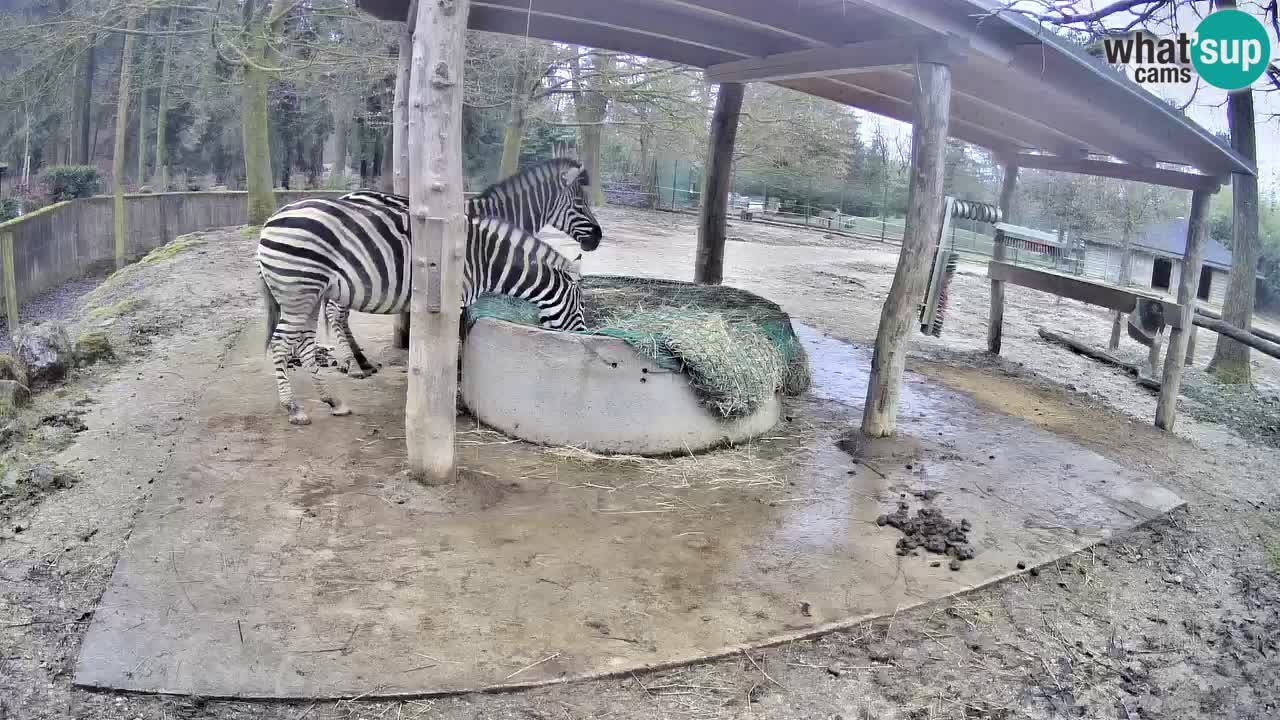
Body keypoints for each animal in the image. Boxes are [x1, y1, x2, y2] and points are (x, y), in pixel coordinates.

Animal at [256, 191, 597, 427]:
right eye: (581, 305)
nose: (585, 335)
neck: (486, 260)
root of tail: (271, 220)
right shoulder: (456, 299)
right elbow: (453, 343)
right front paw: (452, 395)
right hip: (299, 290)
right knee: (281, 342)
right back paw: (294, 408)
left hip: (310, 293)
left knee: (305, 344)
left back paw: (333, 401)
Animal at [320, 157, 602, 378]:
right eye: (580, 204)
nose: (598, 238)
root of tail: (347, 195)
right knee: (336, 313)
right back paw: (352, 362)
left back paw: (354, 359)